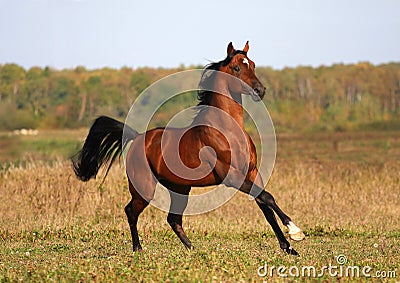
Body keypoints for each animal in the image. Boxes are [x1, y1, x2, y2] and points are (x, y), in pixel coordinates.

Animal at [72, 42, 304, 258]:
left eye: (253, 65)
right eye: (237, 67)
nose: (260, 91)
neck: (227, 131)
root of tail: (137, 137)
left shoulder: (252, 173)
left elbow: (264, 204)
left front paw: (288, 247)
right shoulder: (231, 177)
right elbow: (267, 198)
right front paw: (296, 232)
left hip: (180, 189)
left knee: (173, 219)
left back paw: (193, 249)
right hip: (143, 189)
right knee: (131, 211)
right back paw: (138, 249)